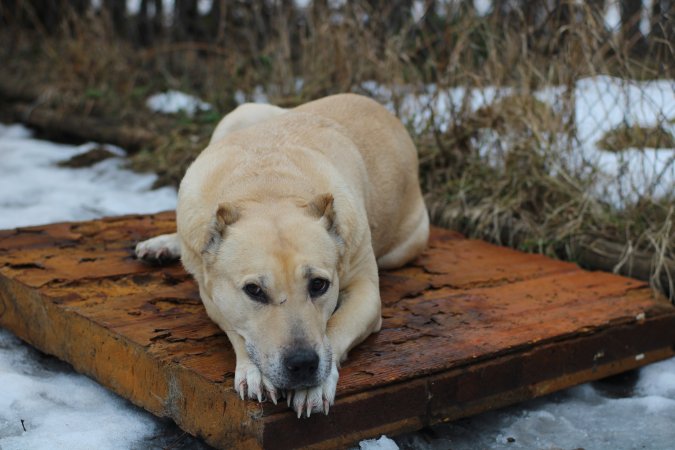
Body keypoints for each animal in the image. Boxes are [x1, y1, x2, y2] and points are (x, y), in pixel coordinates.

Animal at [136, 95, 428, 418]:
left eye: (319, 285)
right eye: (254, 290)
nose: (303, 364)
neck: (267, 190)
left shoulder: (367, 294)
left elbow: (335, 327)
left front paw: (316, 386)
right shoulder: (212, 295)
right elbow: (238, 330)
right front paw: (255, 372)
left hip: (405, 245)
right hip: (241, 114)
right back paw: (163, 245)